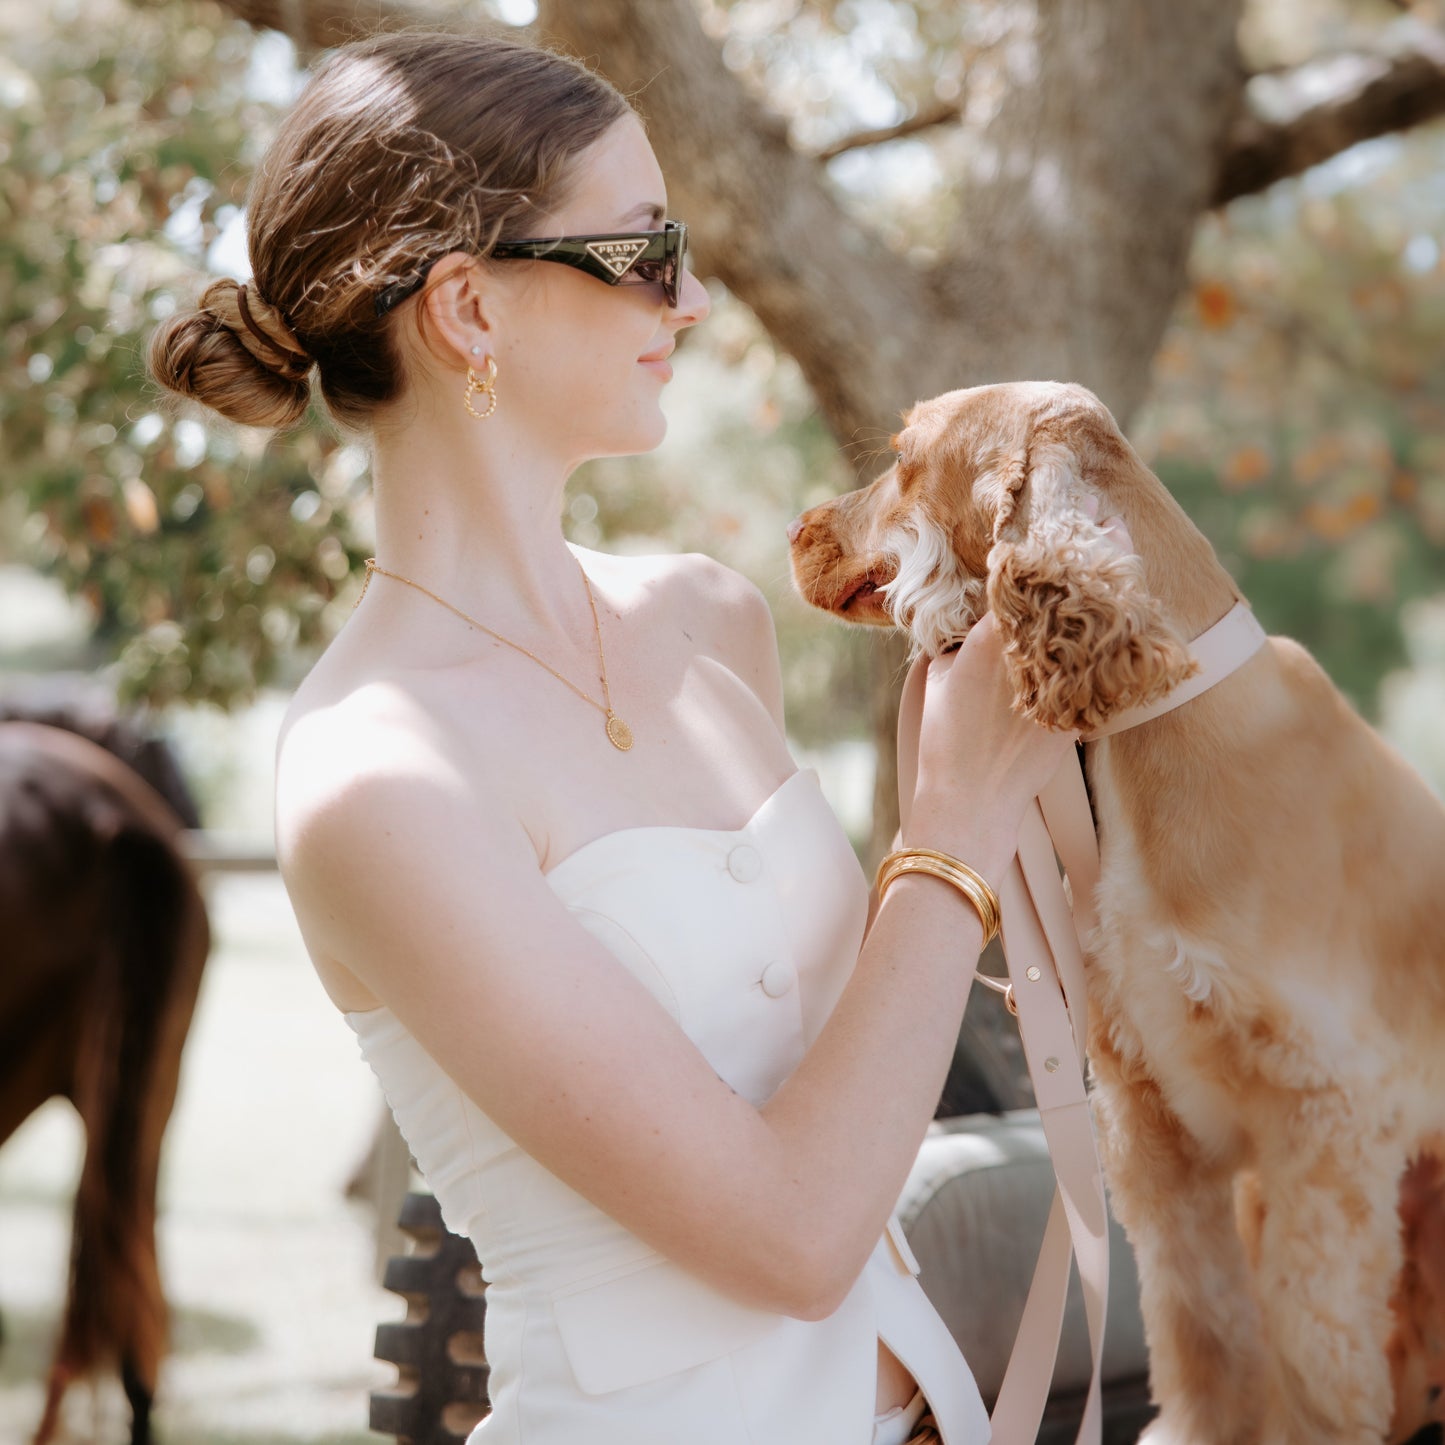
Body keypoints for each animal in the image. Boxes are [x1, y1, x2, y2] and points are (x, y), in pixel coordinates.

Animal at [786, 381, 1445, 1445]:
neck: (1160, 726)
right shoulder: (1154, 1126)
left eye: (905, 458)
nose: (795, 530)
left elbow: (1310, 1356)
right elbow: (1201, 1326)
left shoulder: (1324, 1120)